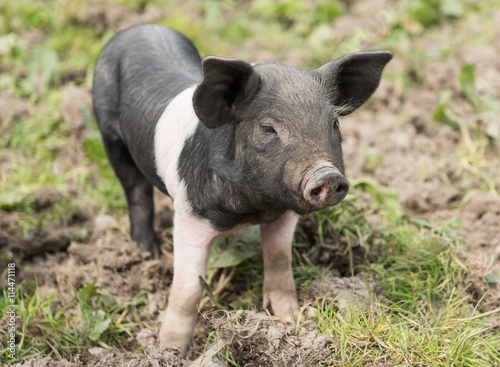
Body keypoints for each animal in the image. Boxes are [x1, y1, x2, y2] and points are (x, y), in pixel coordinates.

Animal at [92, 24, 392, 358]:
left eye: (335, 123)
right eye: (268, 128)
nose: (326, 174)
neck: (254, 208)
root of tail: (139, 28)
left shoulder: (284, 214)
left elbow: (279, 261)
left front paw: (291, 321)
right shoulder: (189, 214)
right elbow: (187, 289)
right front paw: (169, 352)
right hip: (108, 132)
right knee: (136, 191)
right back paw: (146, 254)